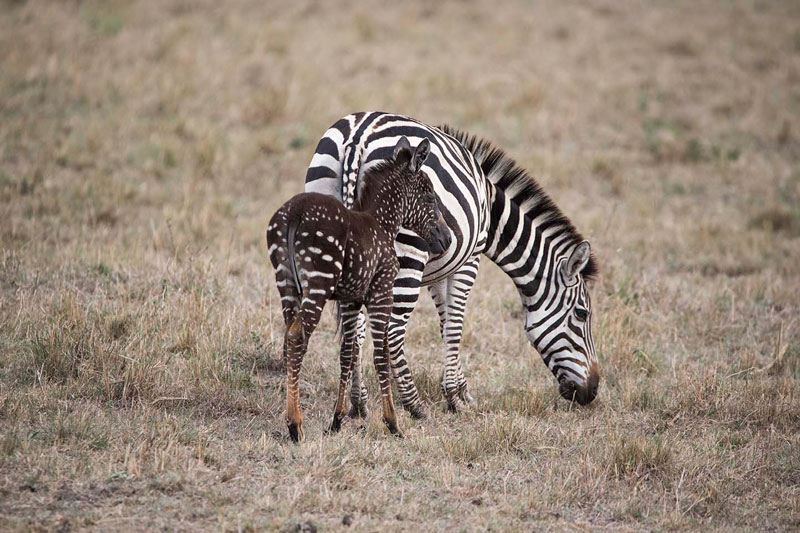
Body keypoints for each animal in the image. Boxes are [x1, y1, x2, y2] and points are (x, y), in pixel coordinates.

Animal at [268, 136, 450, 441]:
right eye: (430, 198)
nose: (447, 239)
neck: (383, 224)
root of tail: (295, 211)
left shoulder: (350, 299)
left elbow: (347, 352)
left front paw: (337, 419)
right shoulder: (381, 292)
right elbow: (381, 354)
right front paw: (393, 422)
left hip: (287, 283)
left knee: (289, 336)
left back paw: (293, 418)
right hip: (318, 283)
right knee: (297, 336)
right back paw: (295, 423)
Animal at [304, 112, 599, 418]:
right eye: (582, 314)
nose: (592, 391)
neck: (491, 212)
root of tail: (358, 137)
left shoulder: (439, 269)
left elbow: (445, 323)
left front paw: (460, 389)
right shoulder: (469, 259)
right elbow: (456, 324)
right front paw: (455, 397)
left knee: (354, 326)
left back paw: (358, 403)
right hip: (408, 251)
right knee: (392, 330)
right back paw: (413, 405)